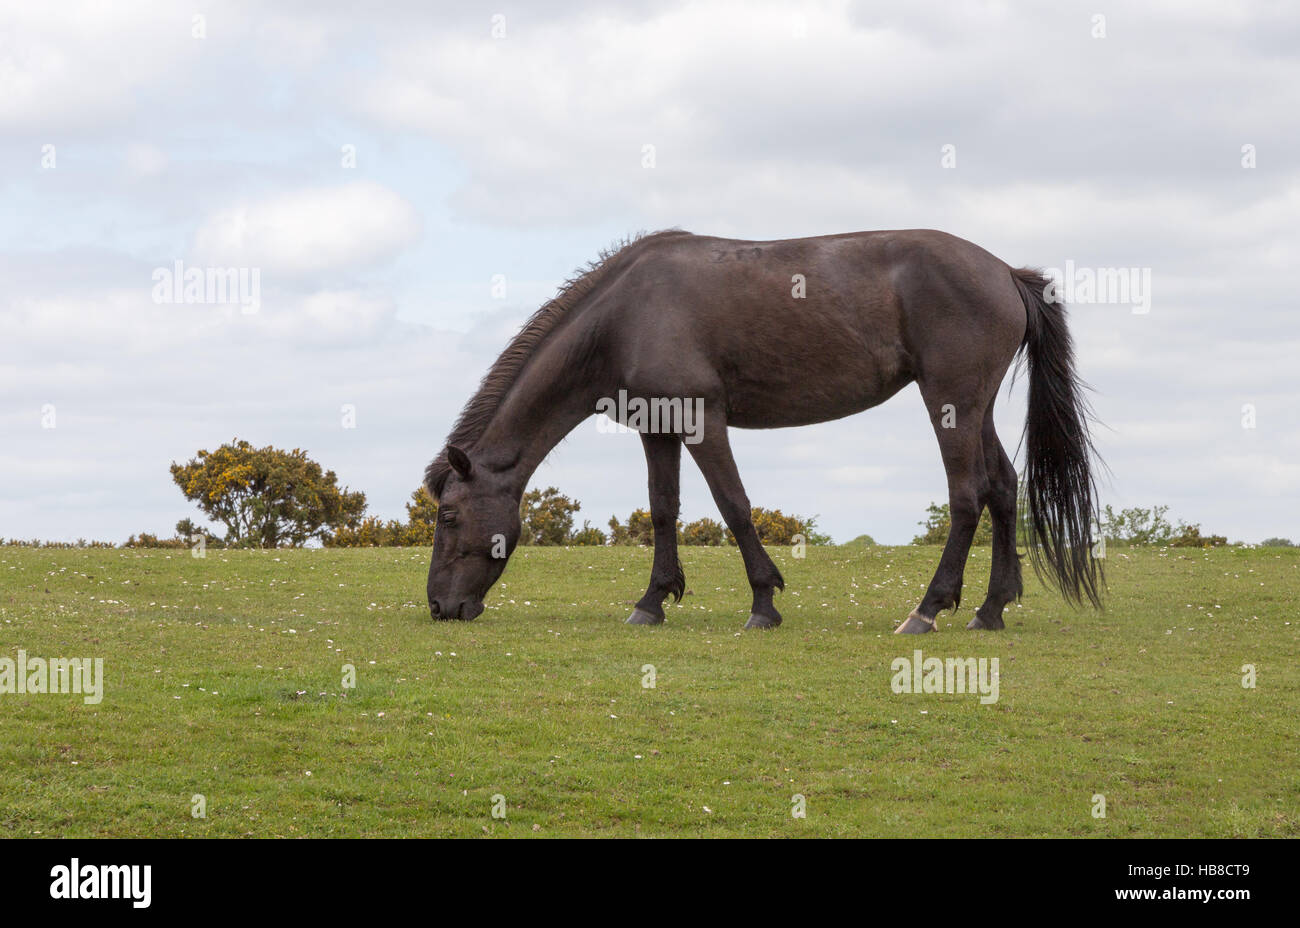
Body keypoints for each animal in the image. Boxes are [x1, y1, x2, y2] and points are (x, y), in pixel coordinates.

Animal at [423, 228, 1097, 631]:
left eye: (449, 515)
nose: (439, 606)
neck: (624, 314)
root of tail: (1005, 272)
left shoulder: (702, 418)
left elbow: (734, 505)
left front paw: (763, 603)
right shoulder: (657, 428)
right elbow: (663, 509)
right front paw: (653, 601)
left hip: (950, 402)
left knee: (967, 495)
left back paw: (928, 610)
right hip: (974, 409)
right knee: (1003, 489)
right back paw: (990, 608)